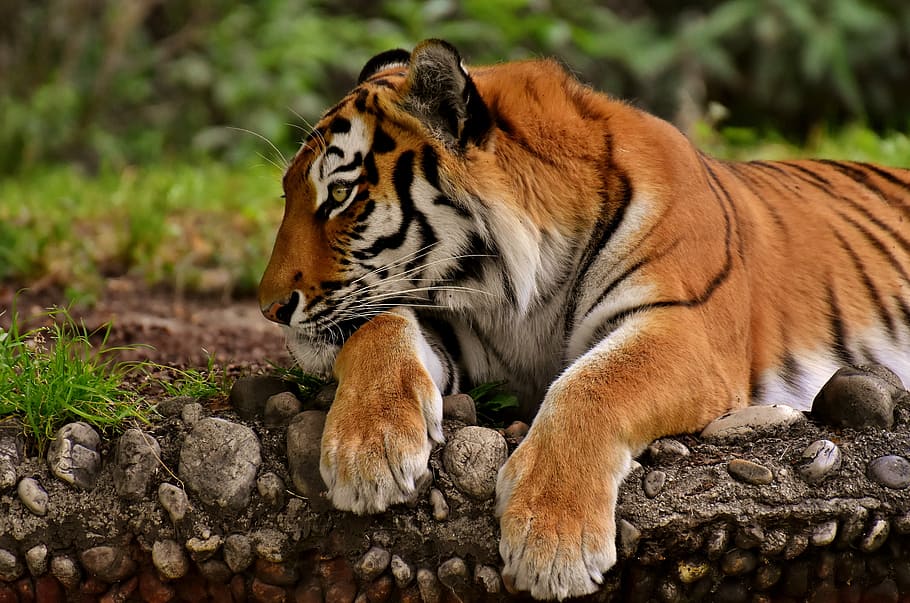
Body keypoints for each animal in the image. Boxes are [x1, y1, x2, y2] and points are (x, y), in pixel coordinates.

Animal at [258, 39, 910, 600]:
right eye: (288, 193)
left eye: (339, 196)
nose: (269, 307)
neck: (516, 289)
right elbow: (378, 327)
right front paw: (367, 452)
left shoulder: (684, 328)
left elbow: (594, 384)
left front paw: (552, 542)